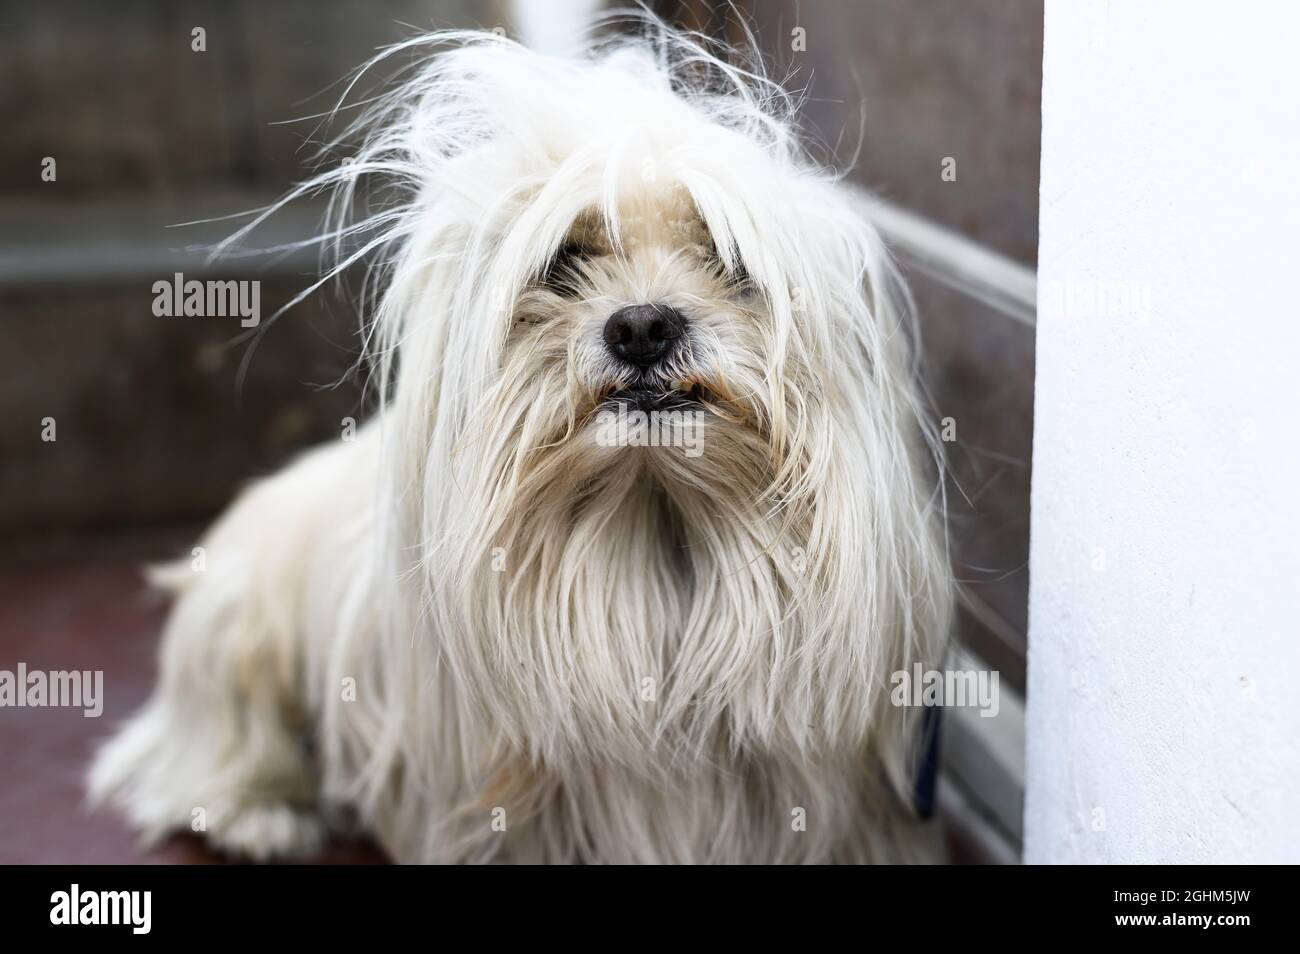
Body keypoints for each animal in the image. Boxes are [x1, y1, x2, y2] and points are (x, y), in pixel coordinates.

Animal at [86, 24, 951, 868]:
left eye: (726, 258)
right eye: (565, 261)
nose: (643, 326)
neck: (653, 530)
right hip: (240, 623)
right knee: (224, 737)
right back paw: (259, 810)